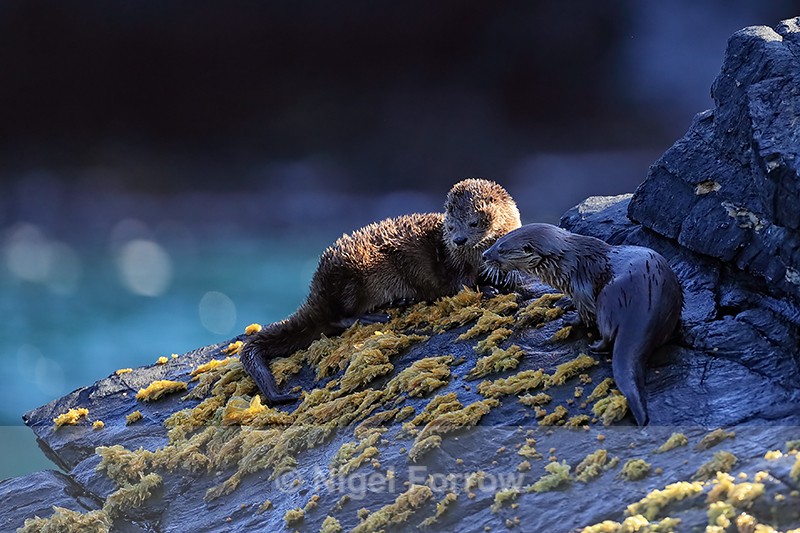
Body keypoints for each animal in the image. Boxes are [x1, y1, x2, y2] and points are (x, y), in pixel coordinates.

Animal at [242, 178, 522, 403]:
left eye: (474, 222)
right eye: (451, 227)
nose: (459, 240)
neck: (476, 257)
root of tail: (318, 284)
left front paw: (507, 277)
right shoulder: (452, 263)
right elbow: (460, 285)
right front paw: (487, 289)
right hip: (353, 273)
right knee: (338, 316)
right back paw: (374, 314)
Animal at [482, 223, 682, 426]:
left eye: (502, 249)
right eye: (496, 241)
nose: (484, 255)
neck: (569, 264)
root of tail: (646, 304)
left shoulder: (581, 286)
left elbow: (585, 312)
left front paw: (569, 318)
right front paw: (564, 302)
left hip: (608, 298)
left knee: (607, 332)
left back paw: (595, 345)